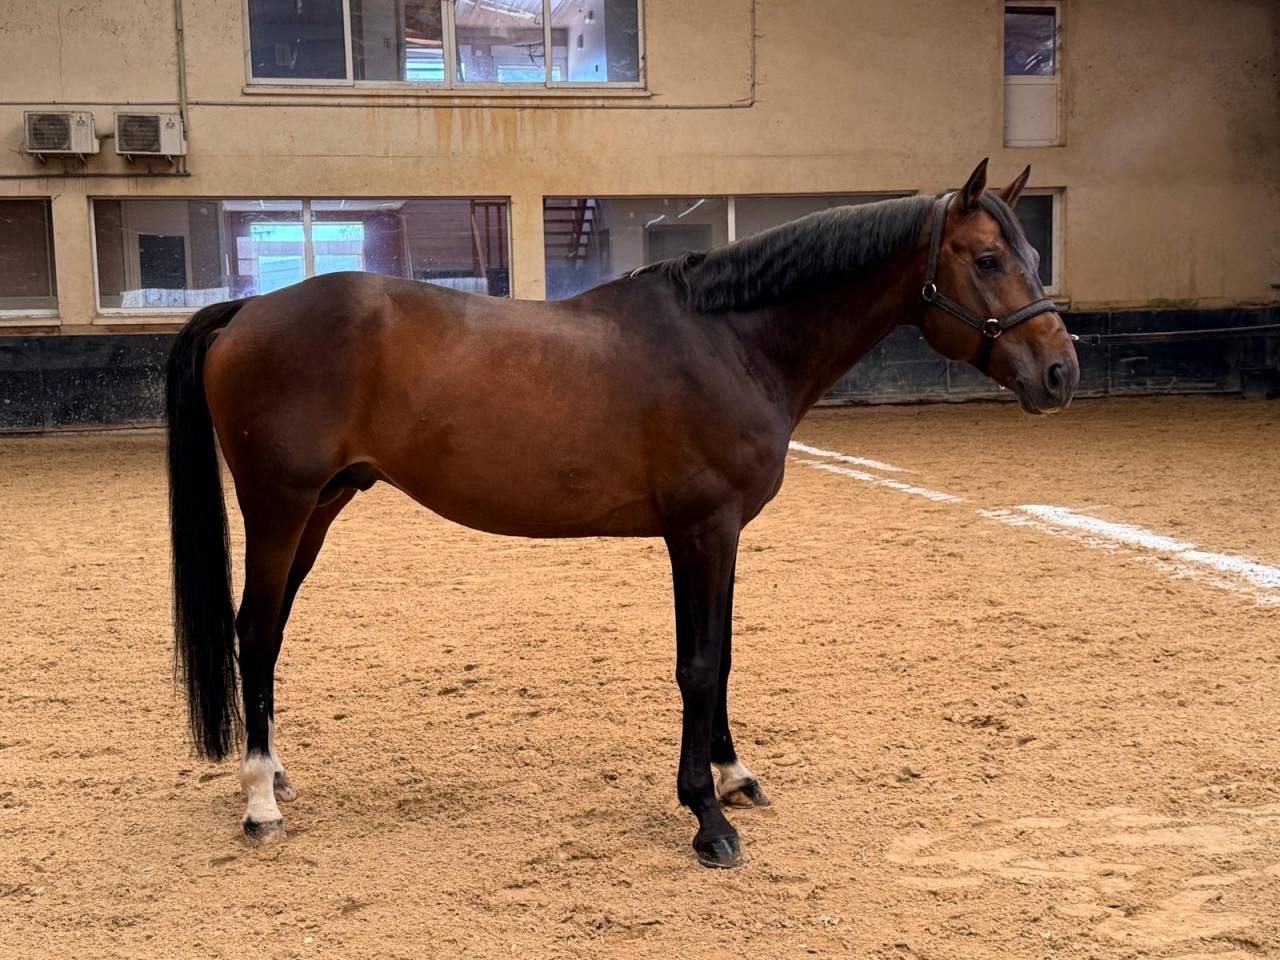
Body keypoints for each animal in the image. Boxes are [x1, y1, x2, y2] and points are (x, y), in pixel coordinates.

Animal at [166, 159, 1078, 868]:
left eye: (1036, 251)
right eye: (988, 257)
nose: (1061, 373)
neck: (729, 341)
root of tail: (247, 310)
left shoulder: (715, 535)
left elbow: (723, 657)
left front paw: (734, 778)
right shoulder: (702, 530)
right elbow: (699, 666)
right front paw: (706, 817)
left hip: (320, 509)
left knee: (271, 633)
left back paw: (277, 774)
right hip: (279, 509)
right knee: (256, 631)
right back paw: (259, 800)